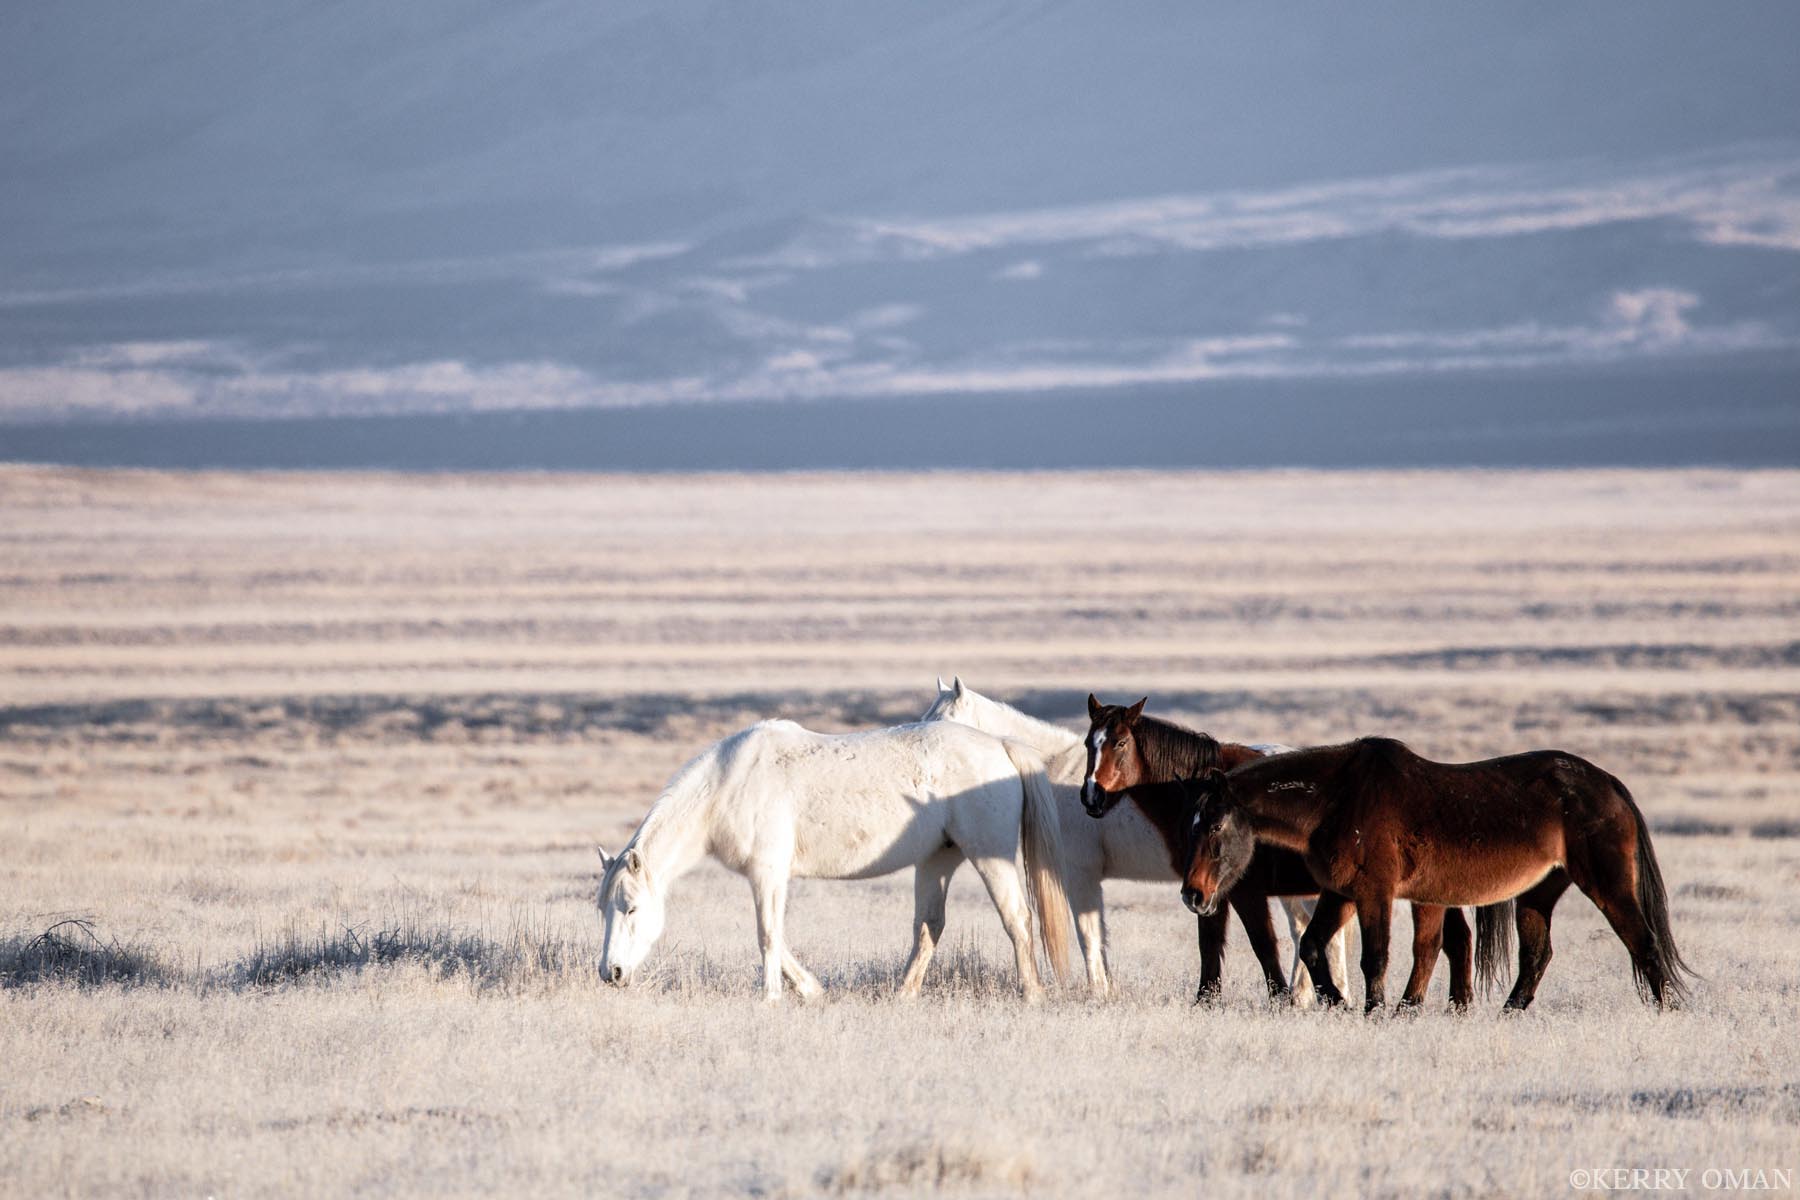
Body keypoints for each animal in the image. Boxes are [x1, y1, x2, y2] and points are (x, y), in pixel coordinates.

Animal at [595, 717, 1077, 1003]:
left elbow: (768, 935)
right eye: (603, 910)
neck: (728, 784)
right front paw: (811, 990)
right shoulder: (769, 877)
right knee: (929, 927)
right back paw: (903, 995)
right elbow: (778, 938)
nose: (611, 972)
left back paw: (1032, 993)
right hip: (938, 859)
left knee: (1017, 919)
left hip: (990, 858)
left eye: (632, 908)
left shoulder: (767, 874)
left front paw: (771, 997)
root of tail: (1000, 744)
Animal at [1083, 696, 1479, 1009]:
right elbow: (1209, 944)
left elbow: (1261, 945)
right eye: (1089, 743)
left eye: (1120, 743)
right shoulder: (1207, 889)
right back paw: (1458, 1007)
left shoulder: (1242, 891)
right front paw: (1206, 1000)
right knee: (1457, 940)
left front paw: (1281, 1000)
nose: (1091, 797)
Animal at [1180, 737, 1692, 1011]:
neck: (1337, 799)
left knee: (1643, 943)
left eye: (1217, 826)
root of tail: (1608, 784)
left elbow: (1376, 958)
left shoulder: (1374, 893)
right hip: (1539, 891)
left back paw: (1665, 1011)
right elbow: (1311, 946)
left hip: (1607, 884)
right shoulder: (1340, 892)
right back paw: (1507, 1013)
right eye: (1192, 823)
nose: (1193, 894)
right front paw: (1337, 1002)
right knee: (1536, 955)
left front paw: (1373, 1011)